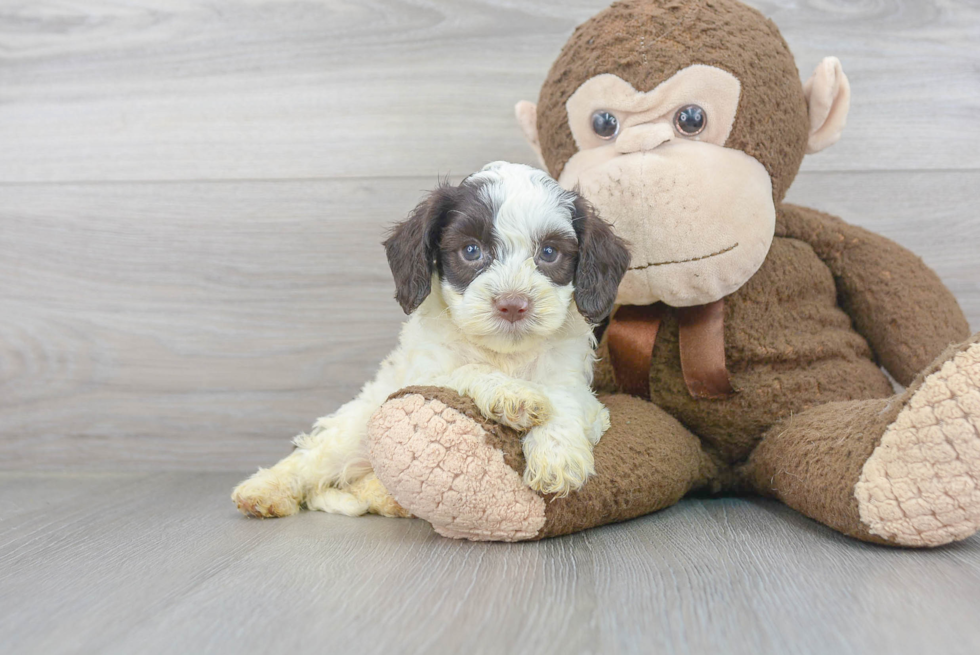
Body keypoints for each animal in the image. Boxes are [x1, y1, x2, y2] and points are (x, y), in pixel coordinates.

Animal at [232, 161, 628, 520]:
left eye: (549, 253)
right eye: (471, 250)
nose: (513, 304)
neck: (504, 355)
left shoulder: (576, 384)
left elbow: (563, 399)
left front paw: (557, 457)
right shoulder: (424, 375)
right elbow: (466, 370)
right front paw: (511, 395)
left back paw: (389, 499)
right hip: (353, 430)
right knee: (312, 459)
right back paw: (265, 489)